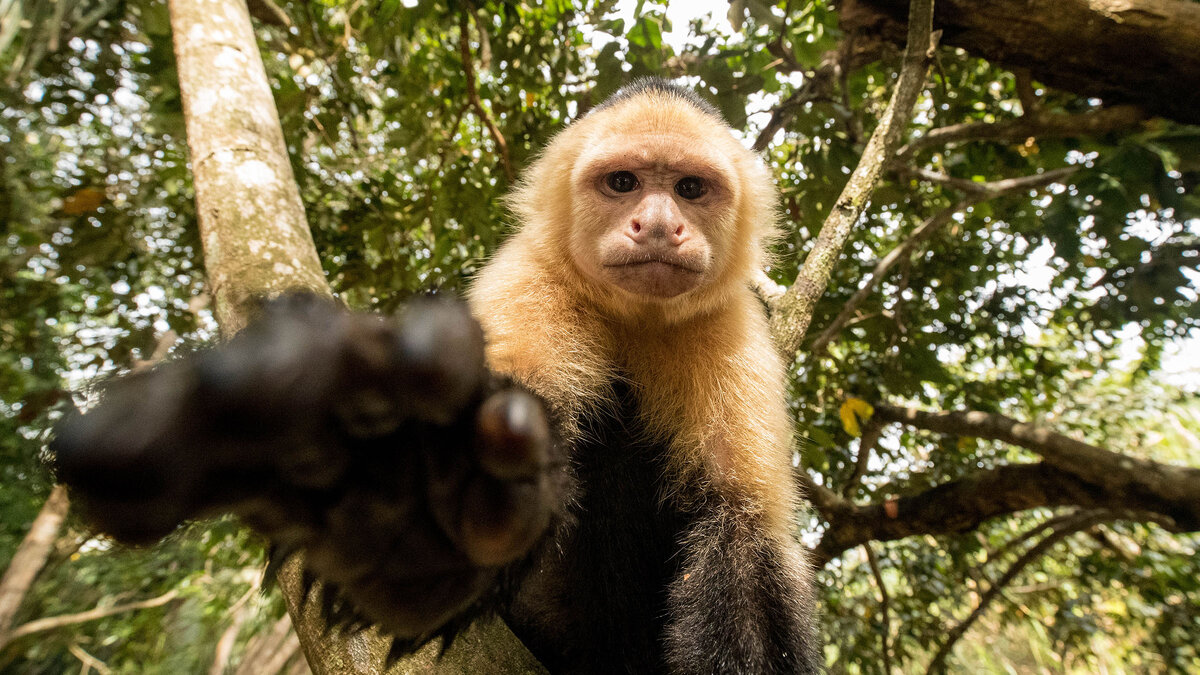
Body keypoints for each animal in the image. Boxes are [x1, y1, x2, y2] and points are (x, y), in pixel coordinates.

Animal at [51, 79, 820, 672]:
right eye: (624, 182)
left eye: (690, 189)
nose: (658, 226)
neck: (633, 317)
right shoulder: (532, 278)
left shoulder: (724, 323)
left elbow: (740, 531)